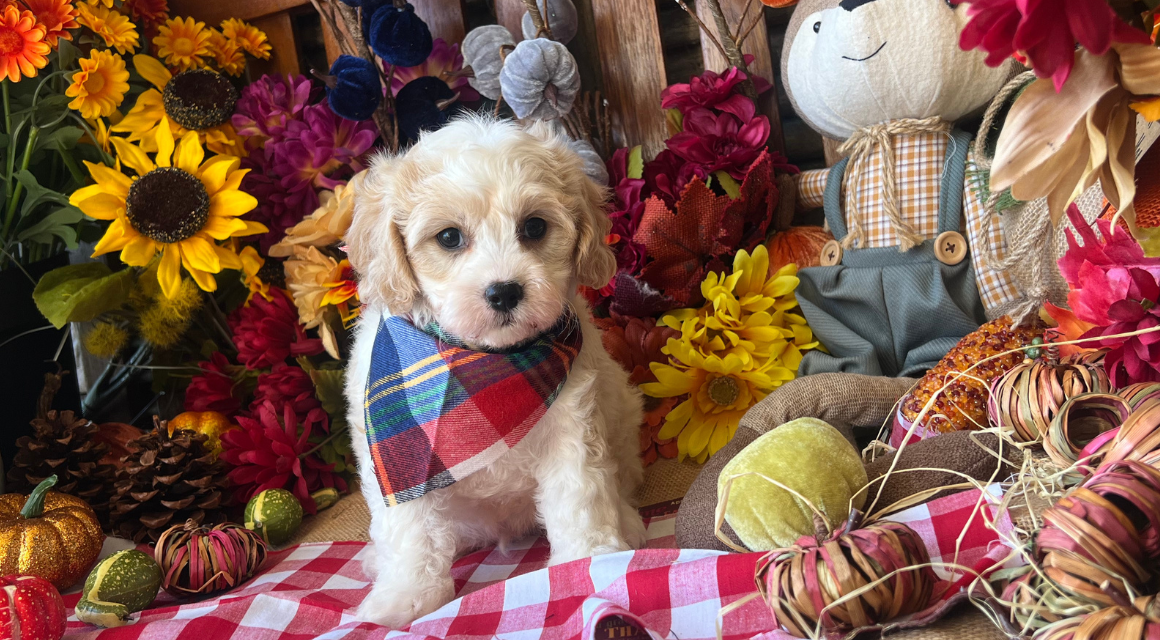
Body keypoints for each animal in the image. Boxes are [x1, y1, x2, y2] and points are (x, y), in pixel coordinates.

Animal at [343, 113, 654, 626]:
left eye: (534, 227)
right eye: (449, 237)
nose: (504, 291)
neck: (487, 366)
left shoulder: (573, 426)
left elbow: (579, 496)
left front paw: (588, 560)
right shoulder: (399, 456)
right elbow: (411, 528)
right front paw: (405, 597)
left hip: (623, 418)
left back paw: (627, 522)